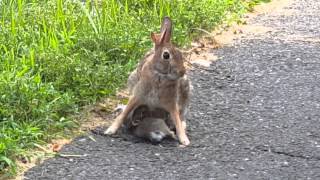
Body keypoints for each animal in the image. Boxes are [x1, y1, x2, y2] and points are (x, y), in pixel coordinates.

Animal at [104, 16, 191, 146]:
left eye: (180, 54)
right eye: (166, 55)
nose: (182, 72)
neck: (160, 75)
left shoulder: (171, 102)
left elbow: (177, 119)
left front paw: (184, 140)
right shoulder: (137, 95)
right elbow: (124, 114)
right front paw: (110, 130)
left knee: (182, 116)